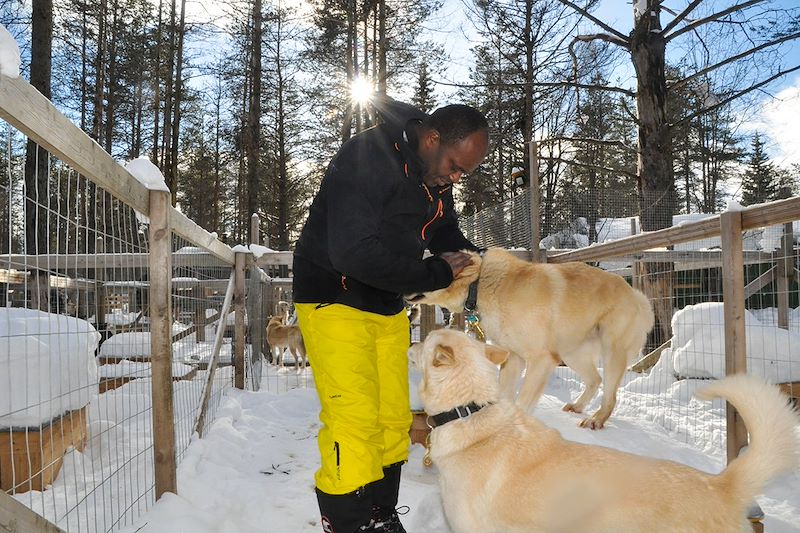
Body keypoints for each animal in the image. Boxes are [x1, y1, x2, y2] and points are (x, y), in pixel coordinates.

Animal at [410, 248, 652, 428]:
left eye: (429, 264)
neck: (480, 284)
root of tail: (635, 295)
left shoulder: (541, 360)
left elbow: (522, 402)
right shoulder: (513, 358)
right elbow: (506, 396)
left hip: (611, 352)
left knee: (610, 395)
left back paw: (596, 419)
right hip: (571, 354)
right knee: (595, 380)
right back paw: (578, 407)